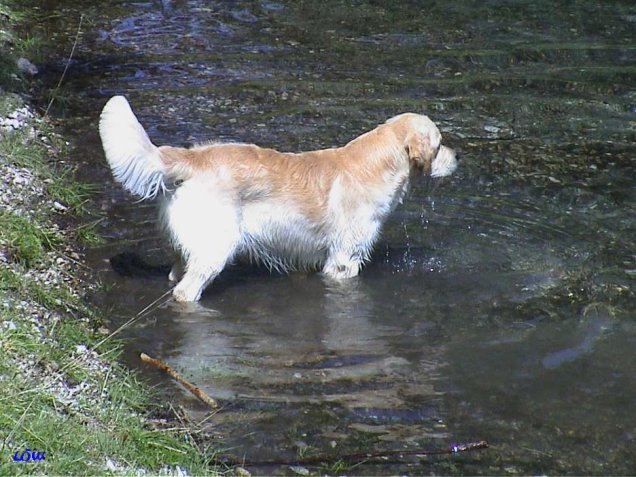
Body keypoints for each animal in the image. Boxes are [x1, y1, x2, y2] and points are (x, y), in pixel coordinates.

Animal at [99, 96, 458, 302]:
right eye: (440, 144)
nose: (458, 158)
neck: (374, 165)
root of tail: (192, 158)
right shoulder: (344, 261)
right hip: (216, 249)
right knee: (186, 292)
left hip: (188, 247)